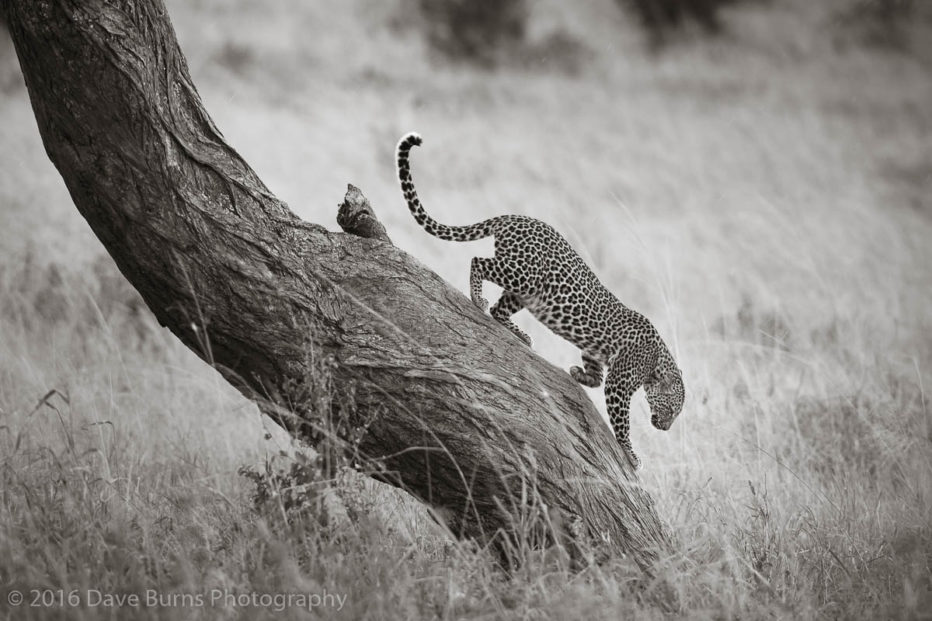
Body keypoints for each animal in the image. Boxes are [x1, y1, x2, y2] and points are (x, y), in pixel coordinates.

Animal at [394, 132, 684, 470]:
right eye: (673, 409)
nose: (665, 427)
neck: (658, 360)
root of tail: (514, 217)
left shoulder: (596, 354)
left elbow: (595, 374)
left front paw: (578, 374)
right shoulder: (621, 382)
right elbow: (620, 417)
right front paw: (631, 454)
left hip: (531, 290)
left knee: (499, 309)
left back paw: (521, 334)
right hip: (524, 275)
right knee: (478, 263)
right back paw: (478, 298)